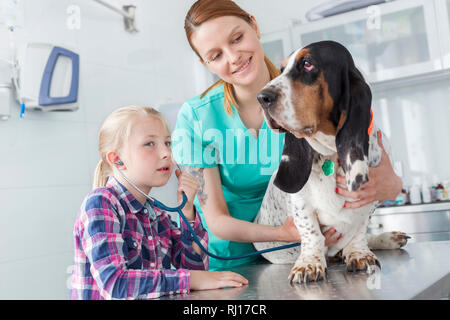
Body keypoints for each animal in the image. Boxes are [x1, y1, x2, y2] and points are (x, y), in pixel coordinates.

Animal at [255, 41, 410, 284]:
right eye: (281, 69)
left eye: (307, 63)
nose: (262, 97)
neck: (331, 154)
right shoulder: (300, 203)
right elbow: (312, 233)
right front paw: (308, 264)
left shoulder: (371, 198)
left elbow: (360, 229)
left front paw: (360, 254)